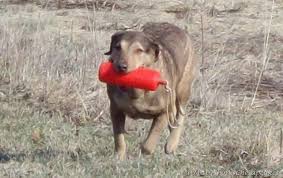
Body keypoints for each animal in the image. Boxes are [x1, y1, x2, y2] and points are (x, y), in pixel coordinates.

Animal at [103, 21, 199, 159]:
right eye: (117, 47)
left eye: (139, 50)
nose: (121, 66)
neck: (136, 90)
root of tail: (181, 29)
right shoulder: (115, 109)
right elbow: (118, 137)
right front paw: (119, 157)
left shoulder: (163, 113)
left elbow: (149, 144)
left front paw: (144, 153)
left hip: (182, 88)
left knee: (180, 114)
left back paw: (171, 144)